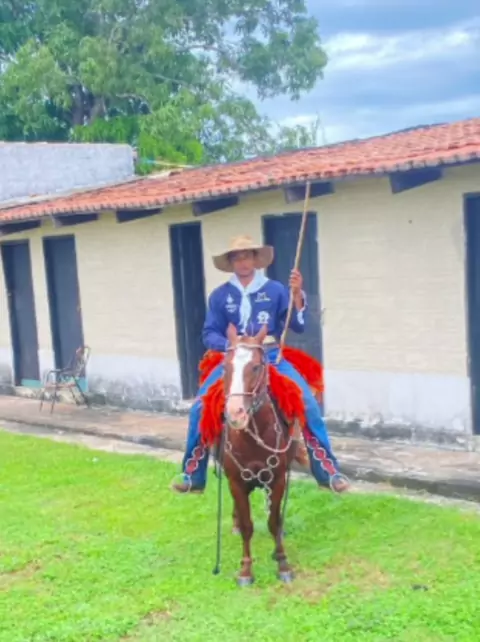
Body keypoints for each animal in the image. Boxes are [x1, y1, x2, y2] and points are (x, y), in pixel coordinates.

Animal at [220, 322, 300, 586]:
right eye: (225, 367)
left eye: (256, 366)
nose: (235, 414)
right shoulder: (235, 481)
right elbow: (247, 526)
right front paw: (246, 570)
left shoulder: (277, 479)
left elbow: (273, 521)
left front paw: (283, 563)